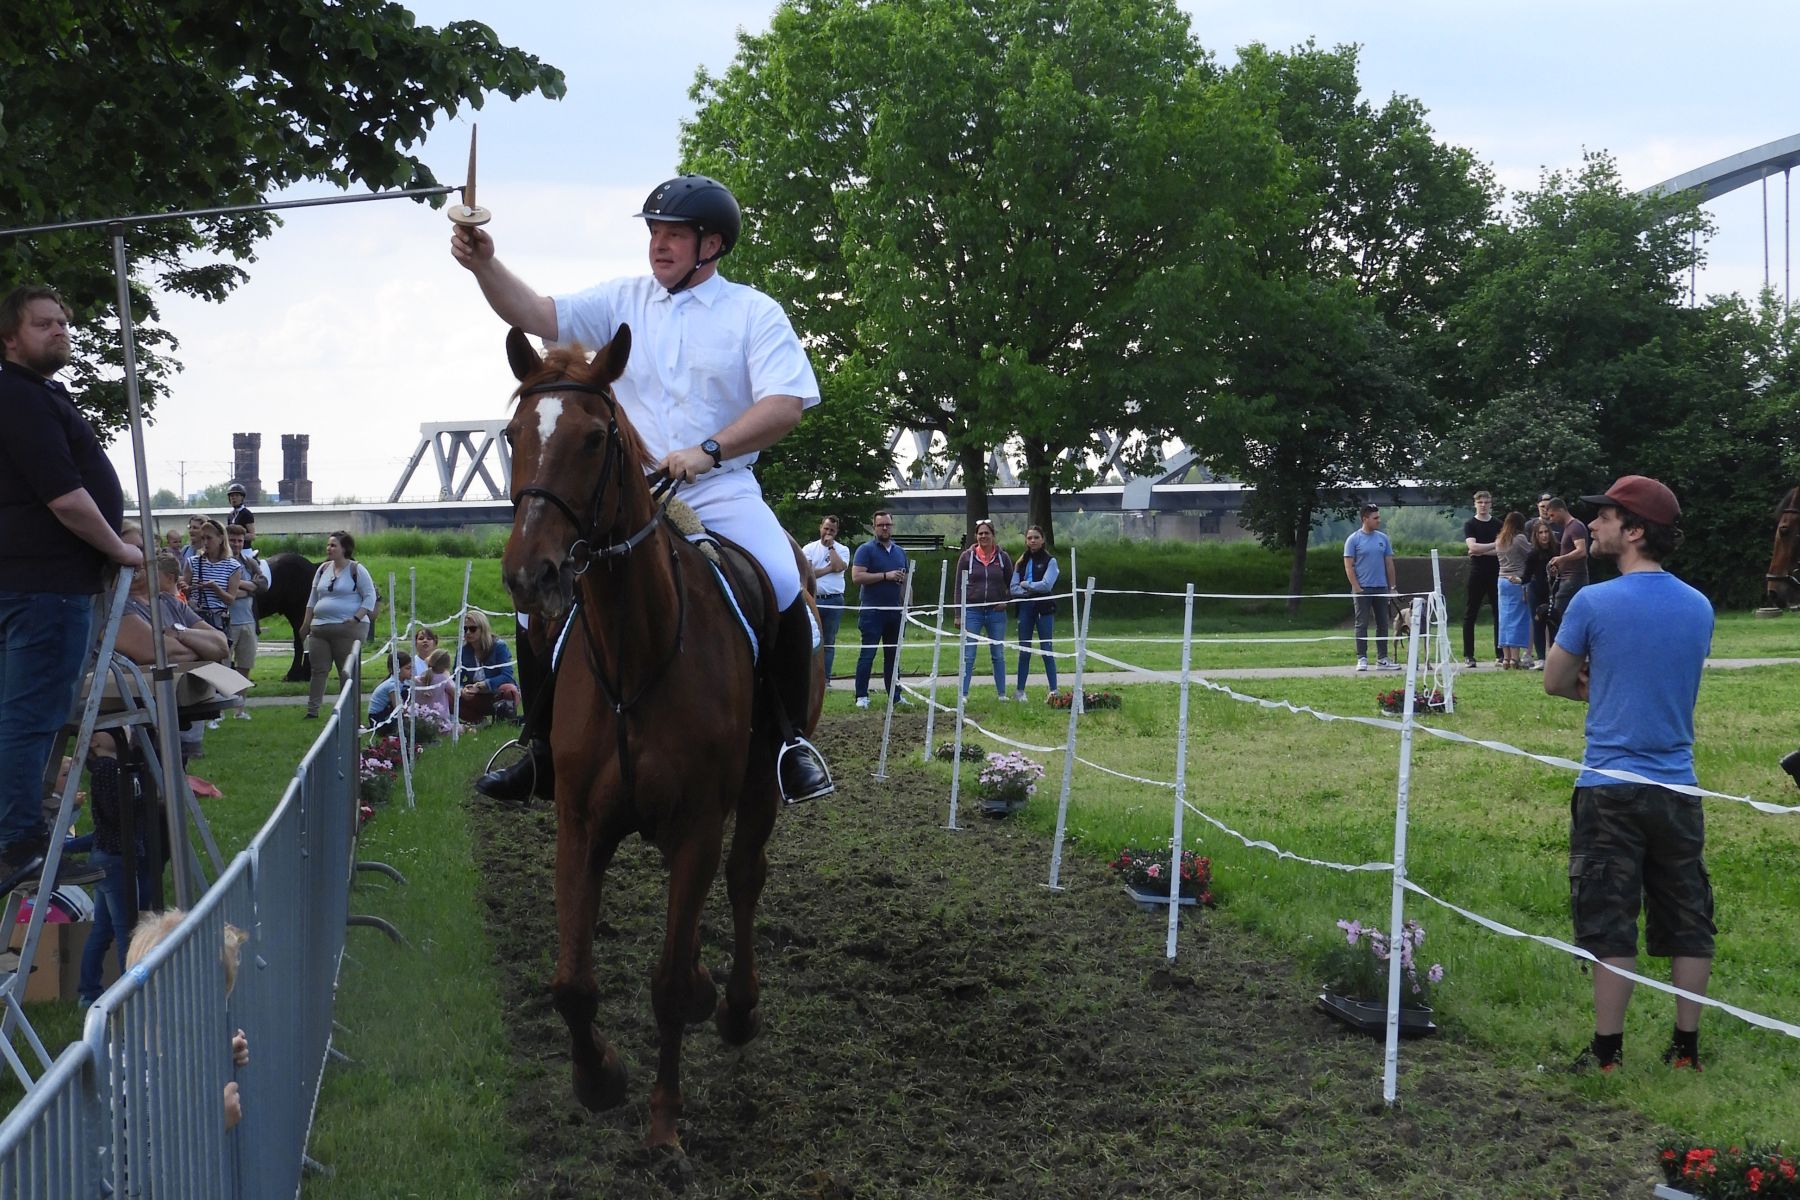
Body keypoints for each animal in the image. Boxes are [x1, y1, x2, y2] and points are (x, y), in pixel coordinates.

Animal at [504, 323, 820, 1151]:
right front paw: (599, 1079)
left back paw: (736, 1005)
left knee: (744, 877)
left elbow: (669, 985)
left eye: (593, 438)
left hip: (757, 787)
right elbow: (572, 983)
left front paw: (664, 1122)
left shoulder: (697, 825)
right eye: (512, 435)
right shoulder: (580, 824)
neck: (635, 650)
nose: (530, 576)